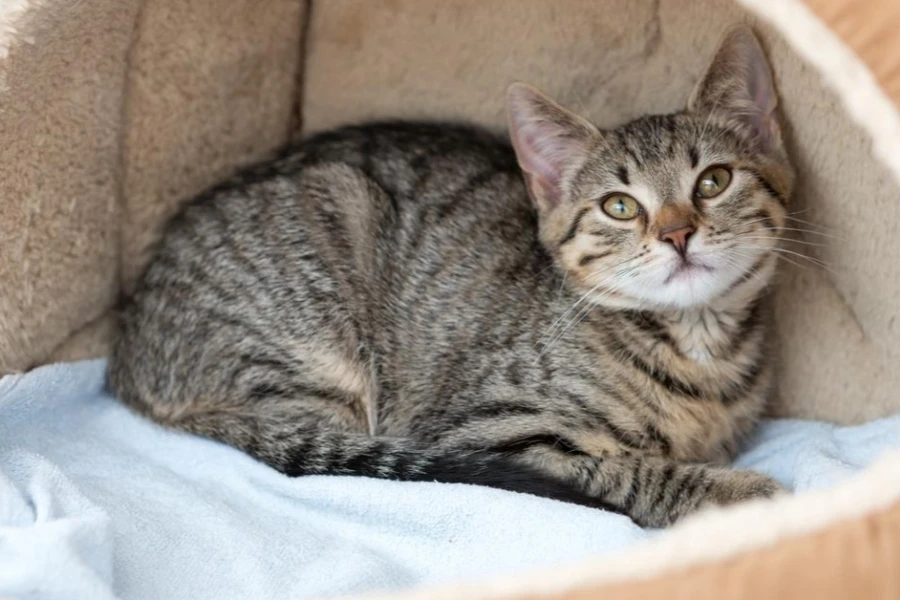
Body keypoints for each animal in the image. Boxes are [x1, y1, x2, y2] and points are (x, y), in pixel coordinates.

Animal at [107, 27, 796, 524]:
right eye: (620, 207)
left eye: (713, 181)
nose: (678, 234)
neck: (694, 346)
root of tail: (127, 355)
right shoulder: (483, 433)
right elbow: (620, 469)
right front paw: (732, 494)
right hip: (318, 282)